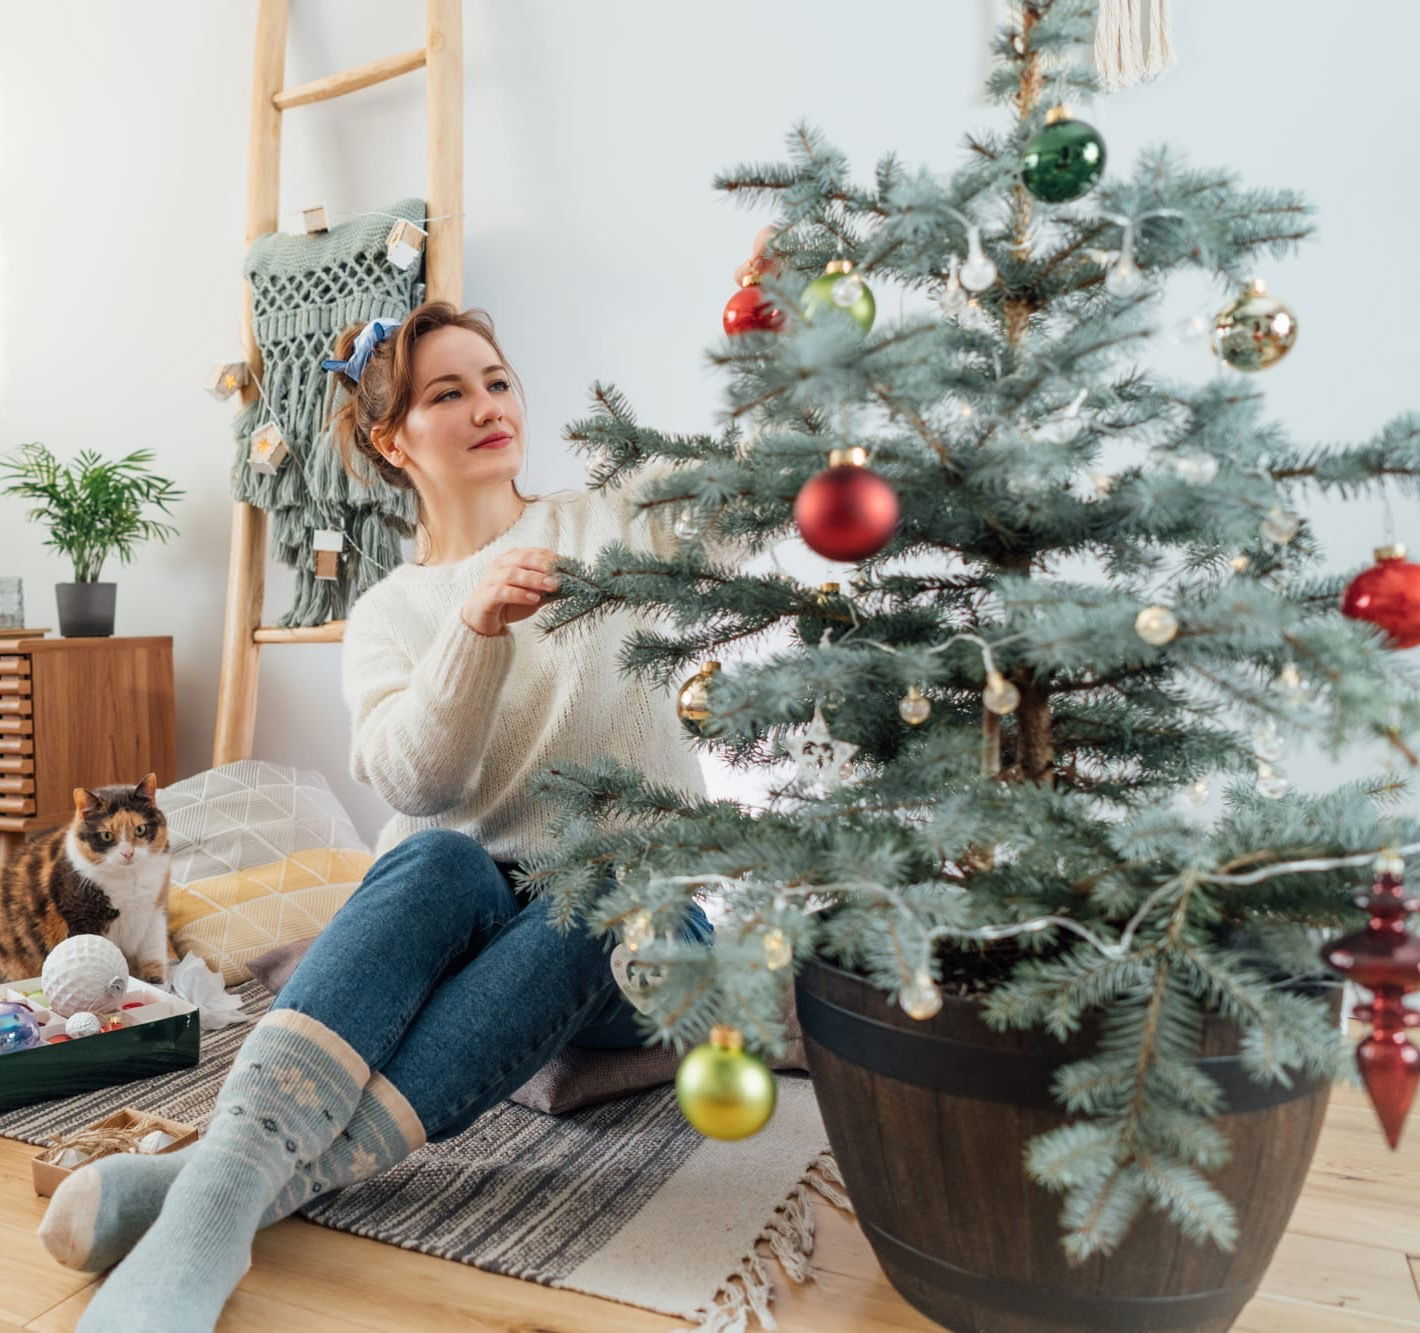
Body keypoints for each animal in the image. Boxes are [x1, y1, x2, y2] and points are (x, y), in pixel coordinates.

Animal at [0, 777, 171, 982]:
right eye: (106, 835)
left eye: (140, 829)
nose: (128, 853)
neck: (129, 880)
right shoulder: (81, 916)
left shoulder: (154, 916)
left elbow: (154, 964)